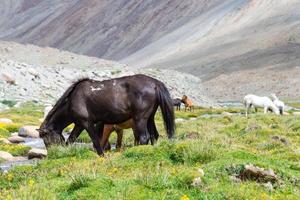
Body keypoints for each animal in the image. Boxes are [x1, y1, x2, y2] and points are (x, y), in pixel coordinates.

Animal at [37, 74, 175, 155]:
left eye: (46, 140)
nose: (53, 154)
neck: (73, 100)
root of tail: (155, 84)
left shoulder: (87, 123)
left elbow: (96, 141)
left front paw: (101, 155)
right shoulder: (80, 125)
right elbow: (71, 139)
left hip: (140, 119)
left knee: (144, 138)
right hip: (150, 118)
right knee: (154, 136)